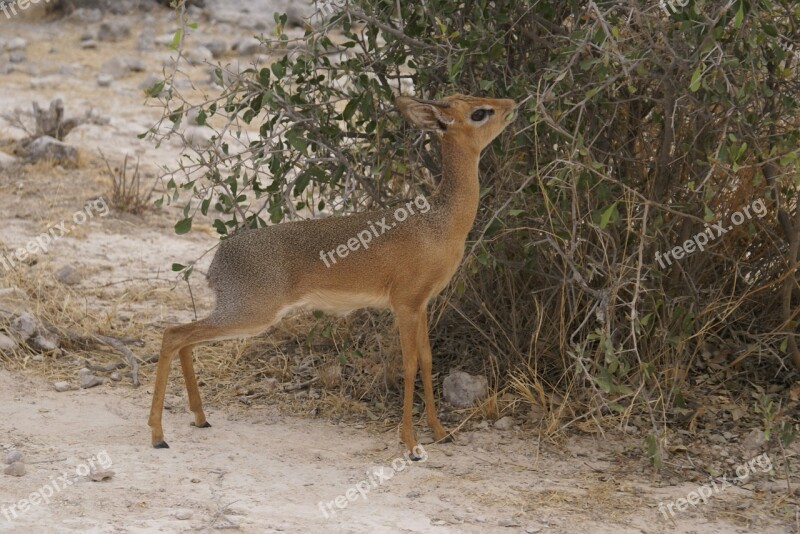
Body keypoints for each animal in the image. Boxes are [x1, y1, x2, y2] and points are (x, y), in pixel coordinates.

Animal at [149, 94, 520, 458]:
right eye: (479, 112)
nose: (512, 104)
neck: (440, 223)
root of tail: (216, 262)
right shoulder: (405, 304)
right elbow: (409, 366)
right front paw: (411, 444)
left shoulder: (423, 304)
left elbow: (428, 362)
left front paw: (441, 433)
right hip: (251, 314)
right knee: (173, 334)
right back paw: (158, 435)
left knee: (184, 338)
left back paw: (199, 418)